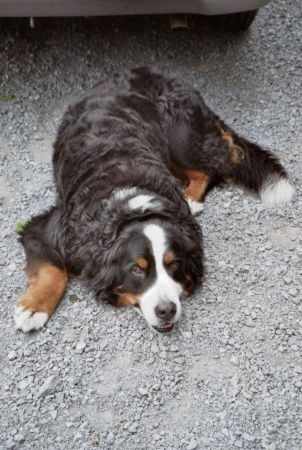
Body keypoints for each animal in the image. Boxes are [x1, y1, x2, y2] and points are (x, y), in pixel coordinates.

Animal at [13, 67, 292, 334]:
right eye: (136, 269)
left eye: (174, 264)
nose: (166, 310)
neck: (132, 205)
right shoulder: (48, 229)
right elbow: (52, 268)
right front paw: (33, 308)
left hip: (181, 138)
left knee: (217, 162)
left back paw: (192, 197)